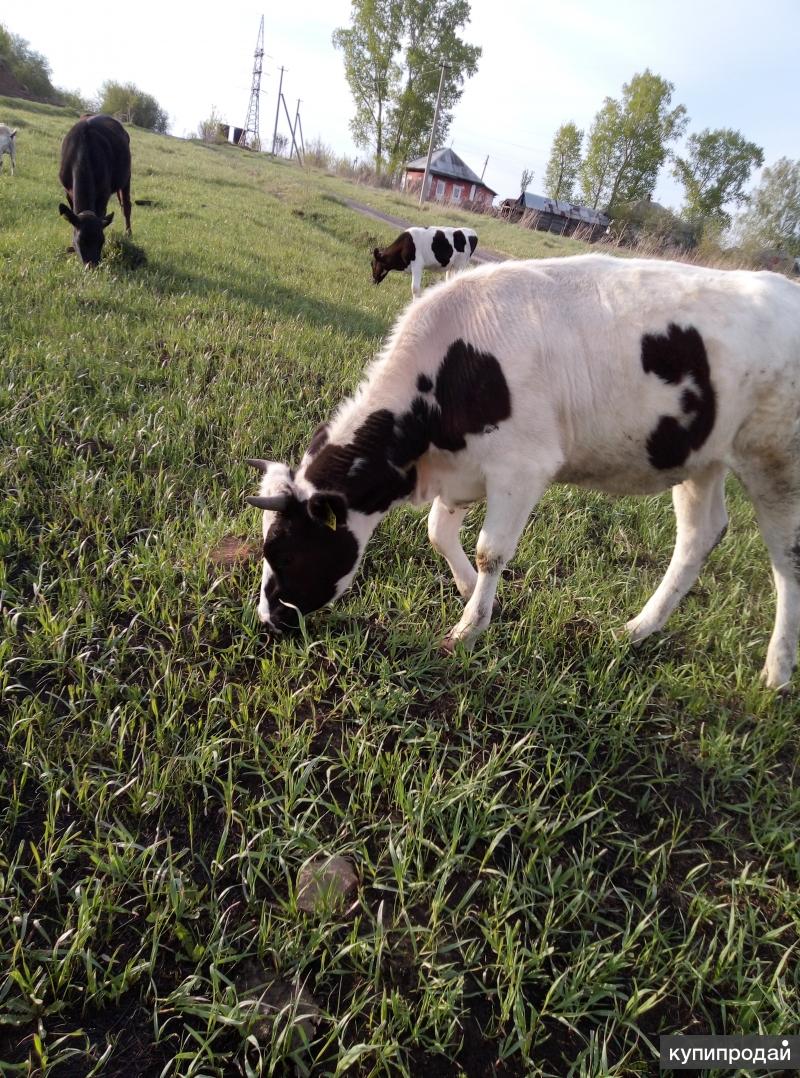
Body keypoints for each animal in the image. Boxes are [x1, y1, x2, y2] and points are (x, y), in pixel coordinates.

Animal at [58, 114, 133, 267]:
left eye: (102, 241)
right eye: (80, 241)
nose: (92, 266)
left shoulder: (103, 193)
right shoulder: (68, 191)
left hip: (126, 176)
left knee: (126, 206)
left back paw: (128, 233)